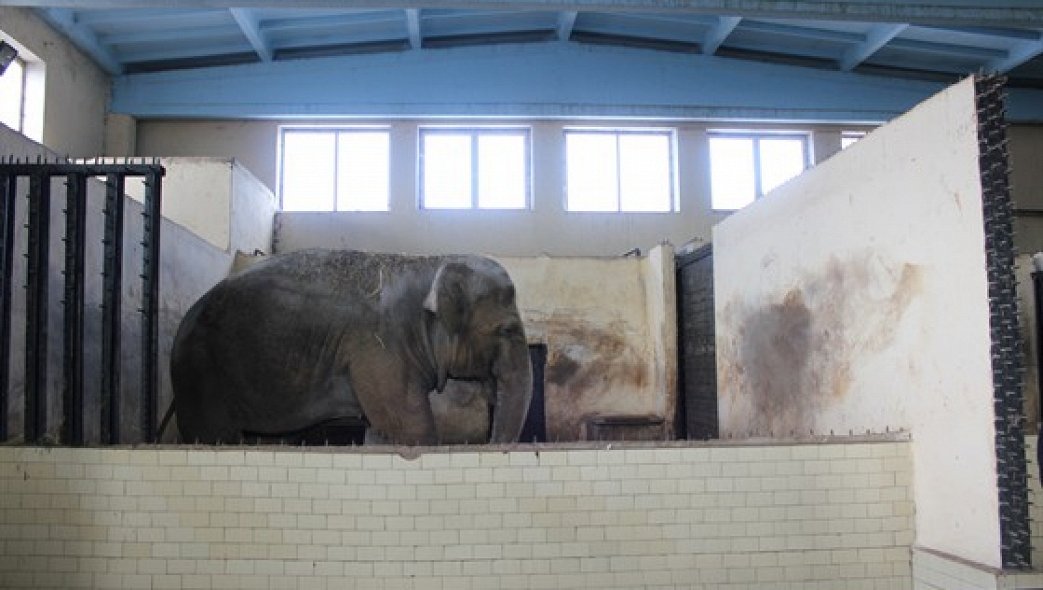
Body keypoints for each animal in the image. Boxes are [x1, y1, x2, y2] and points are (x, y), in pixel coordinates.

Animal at [168, 248, 533, 446]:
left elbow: (382, 432)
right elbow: (411, 430)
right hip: (200, 370)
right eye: (507, 330)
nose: (491, 444)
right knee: (214, 434)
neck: (432, 264)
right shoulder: (379, 349)